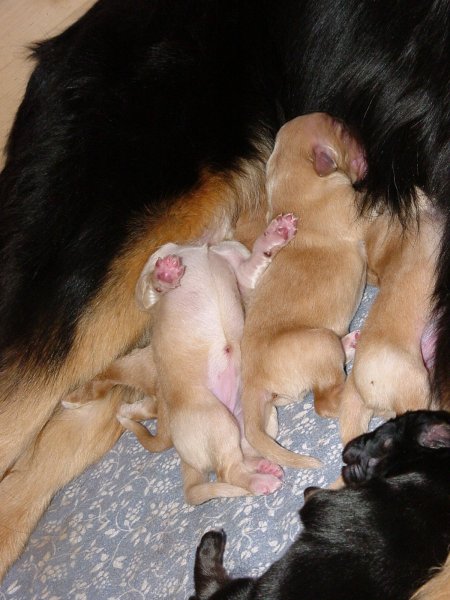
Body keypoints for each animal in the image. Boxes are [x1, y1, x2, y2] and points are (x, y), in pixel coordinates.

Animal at [190, 410, 450, 600]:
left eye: (381, 428)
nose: (347, 449)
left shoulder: (324, 504)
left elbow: (312, 496)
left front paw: (309, 489)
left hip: (237, 590)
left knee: (207, 588)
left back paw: (211, 541)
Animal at [240, 113, 367, 468]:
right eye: (342, 131)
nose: (363, 139)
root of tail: (251, 383)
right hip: (319, 343)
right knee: (324, 402)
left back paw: (350, 342)